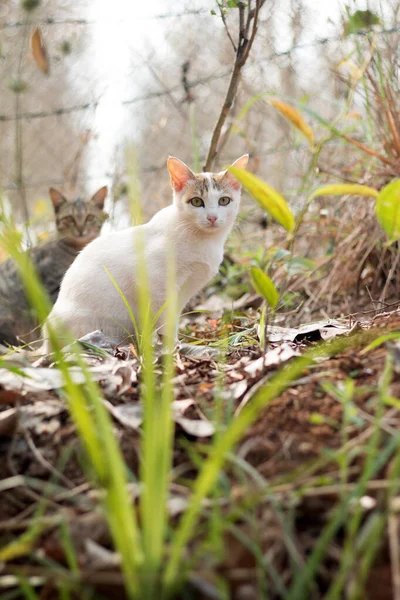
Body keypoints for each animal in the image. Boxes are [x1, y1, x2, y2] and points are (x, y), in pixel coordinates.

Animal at [43, 154, 248, 346]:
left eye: (224, 200)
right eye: (197, 202)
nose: (212, 217)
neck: (204, 240)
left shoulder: (184, 291)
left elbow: (172, 317)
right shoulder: (154, 283)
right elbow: (163, 319)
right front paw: (170, 346)